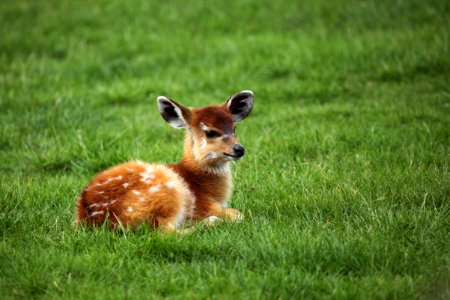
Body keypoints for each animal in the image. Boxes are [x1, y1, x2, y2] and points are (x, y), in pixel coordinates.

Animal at [75, 89, 255, 232]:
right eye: (210, 132)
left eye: (234, 128)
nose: (239, 149)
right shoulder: (202, 206)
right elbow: (237, 214)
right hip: (168, 193)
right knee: (165, 231)